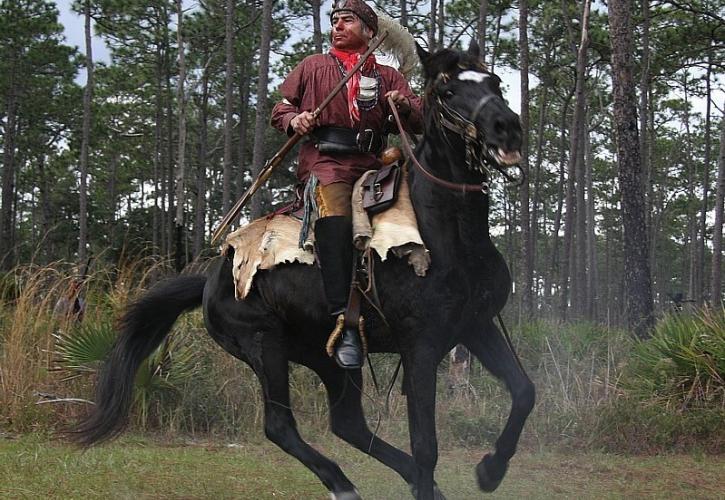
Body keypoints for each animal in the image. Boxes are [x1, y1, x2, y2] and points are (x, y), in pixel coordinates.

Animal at [73, 44, 536, 500]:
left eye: (495, 82)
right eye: (447, 91)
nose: (507, 127)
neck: (443, 228)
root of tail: (211, 279)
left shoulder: (475, 326)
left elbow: (524, 392)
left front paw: (491, 470)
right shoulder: (420, 344)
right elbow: (426, 444)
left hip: (327, 356)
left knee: (348, 424)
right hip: (264, 346)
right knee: (280, 427)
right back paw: (342, 484)